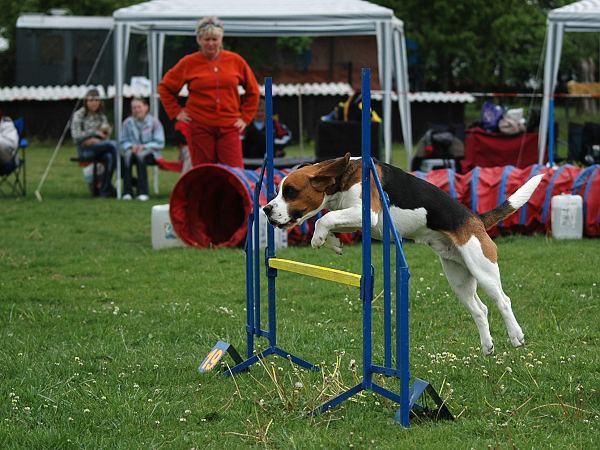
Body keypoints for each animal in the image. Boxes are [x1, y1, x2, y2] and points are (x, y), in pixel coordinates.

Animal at [264, 155, 548, 356]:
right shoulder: (355, 217)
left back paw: (516, 336)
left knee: (503, 301)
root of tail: (475, 219)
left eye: (290, 191)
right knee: (480, 309)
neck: (342, 178)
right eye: (279, 190)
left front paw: (319, 238)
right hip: (458, 278)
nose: (266, 209)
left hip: (482, 267)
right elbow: (329, 219)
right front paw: (332, 242)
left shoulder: (368, 213)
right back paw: (487, 346)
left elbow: (324, 218)